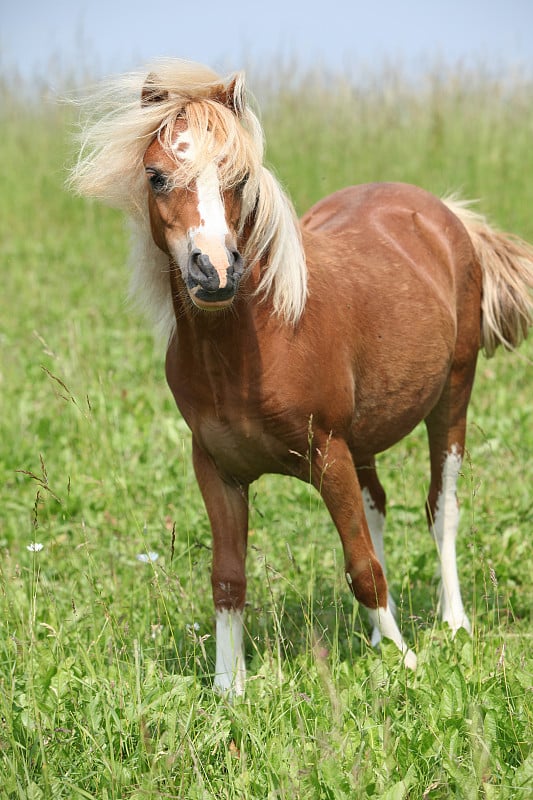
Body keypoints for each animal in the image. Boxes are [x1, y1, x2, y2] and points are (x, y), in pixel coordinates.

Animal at [71, 59, 532, 692]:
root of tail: (443, 212)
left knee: (442, 508)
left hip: (451, 400)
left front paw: (407, 661)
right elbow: (228, 577)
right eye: (156, 175)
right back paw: (375, 638)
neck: (248, 349)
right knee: (377, 505)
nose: (214, 272)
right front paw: (228, 687)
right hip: (365, 438)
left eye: (239, 175)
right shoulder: (216, 470)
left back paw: (452, 623)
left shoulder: (327, 453)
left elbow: (362, 566)